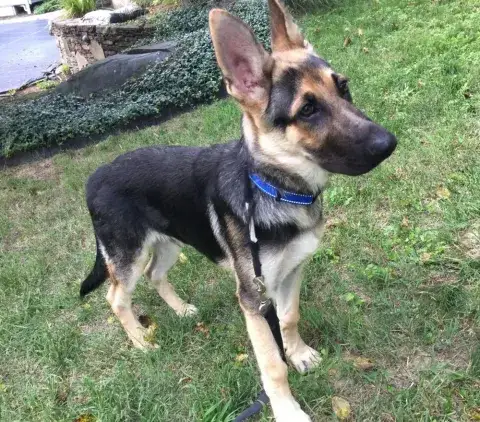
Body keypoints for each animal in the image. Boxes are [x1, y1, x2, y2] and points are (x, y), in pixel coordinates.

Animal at [80, 1, 396, 420]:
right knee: (116, 298)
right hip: (128, 257)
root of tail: (93, 177)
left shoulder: (290, 273)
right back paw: (141, 341)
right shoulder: (253, 298)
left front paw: (299, 353)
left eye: (342, 87)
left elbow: (289, 318)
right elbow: (272, 365)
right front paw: (287, 409)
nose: (389, 143)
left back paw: (181, 310)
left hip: (170, 242)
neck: (277, 188)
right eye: (307, 110)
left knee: (155, 275)